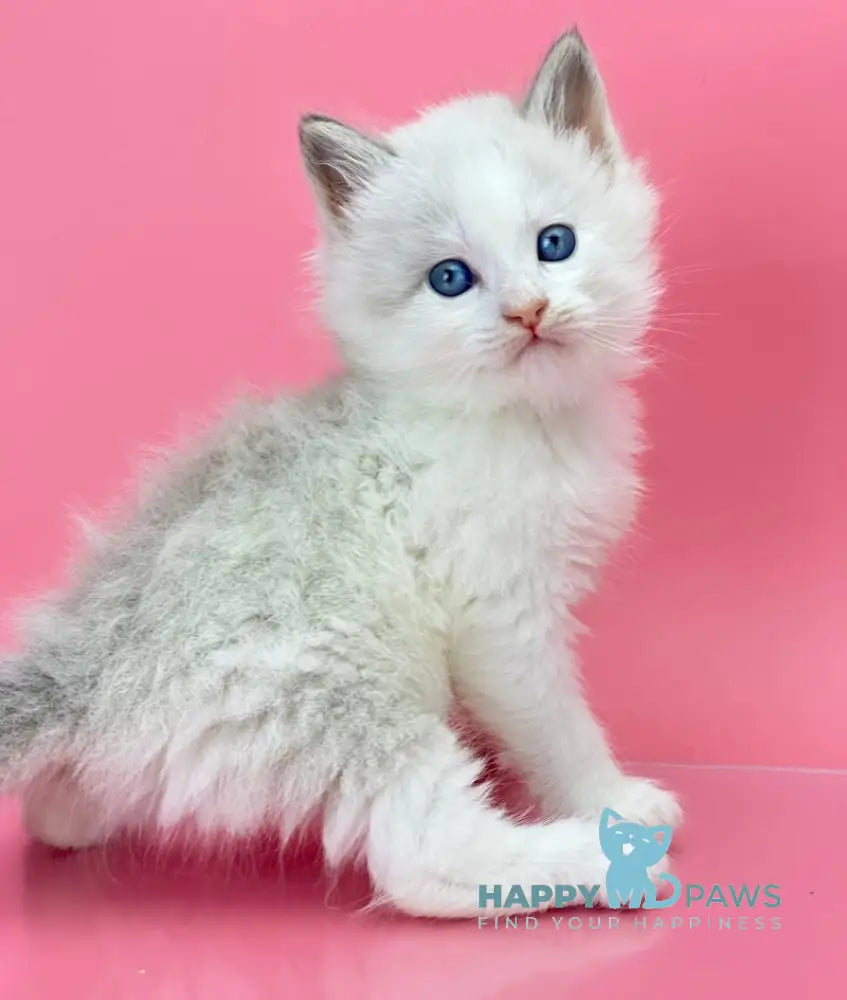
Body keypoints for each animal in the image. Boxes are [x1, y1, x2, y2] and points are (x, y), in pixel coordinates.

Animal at [0, 25, 684, 916]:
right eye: (450, 279)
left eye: (554, 243)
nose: (527, 311)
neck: (520, 423)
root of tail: (83, 670)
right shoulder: (500, 618)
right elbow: (556, 729)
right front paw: (612, 806)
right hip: (347, 682)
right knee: (421, 856)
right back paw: (591, 867)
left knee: (55, 808)